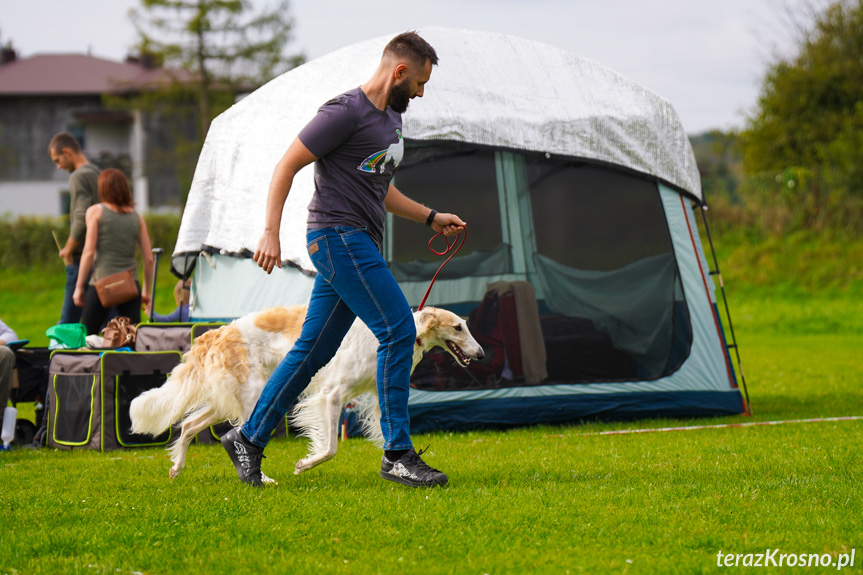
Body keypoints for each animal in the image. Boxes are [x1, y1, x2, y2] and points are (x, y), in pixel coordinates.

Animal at [128, 306, 482, 482]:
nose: (480, 355)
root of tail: (218, 331)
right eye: (458, 327)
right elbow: (331, 448)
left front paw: (402, 466)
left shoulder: (380, 391)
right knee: (242, 435)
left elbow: (391, 432)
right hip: (255, 396)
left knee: (188, 425)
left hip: (231, 398)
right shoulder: (331, 395)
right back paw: (260, 478)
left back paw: (177, 468)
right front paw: (304, 464)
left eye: (466, 325)